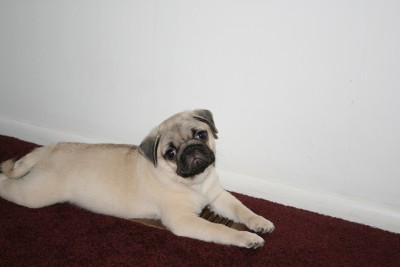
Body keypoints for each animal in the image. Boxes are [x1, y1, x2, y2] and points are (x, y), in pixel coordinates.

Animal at [0, 109, 276, 249]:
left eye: (201, 134)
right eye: (170, 153)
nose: (190, 149)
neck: (195, 182)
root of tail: (50, 150)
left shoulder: (217, 196)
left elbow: (242, 210)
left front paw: (259, 222)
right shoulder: (184, 221)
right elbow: (220, 229)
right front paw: (247, 238)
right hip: (34, 194)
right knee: (8, 184)